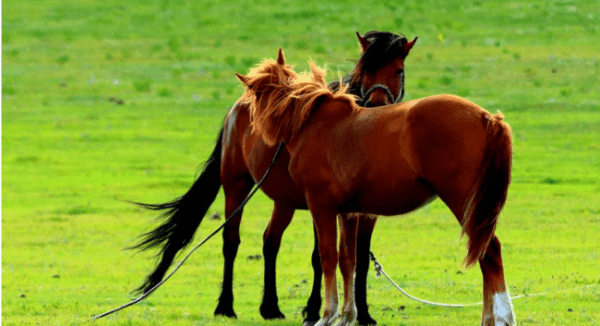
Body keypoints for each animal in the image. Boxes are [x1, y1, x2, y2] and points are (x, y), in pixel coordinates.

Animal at [131, 31, 414, 326]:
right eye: (364, 69)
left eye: (398, 70)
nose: (378, 105)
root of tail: (240, 104)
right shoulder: (322, 203)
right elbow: (321, 256)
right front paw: (313, 310)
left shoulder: (364, 212)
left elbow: (358, 256)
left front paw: (363, 313)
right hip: (236, 186)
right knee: (231, 240)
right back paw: (226, 306)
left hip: (284, 201)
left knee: (270, 242)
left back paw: (270, 307)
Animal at [236, 51, 516, 326]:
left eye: (253, 95)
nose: (248, 126)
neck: (314, 123)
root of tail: (486, 118)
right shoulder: (348, 213)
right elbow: (347, 260)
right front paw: (347, 316)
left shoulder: (321, 207)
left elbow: (328, 257)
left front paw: (327, 315)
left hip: (464, 202)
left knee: (490, 252)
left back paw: (503, 317)